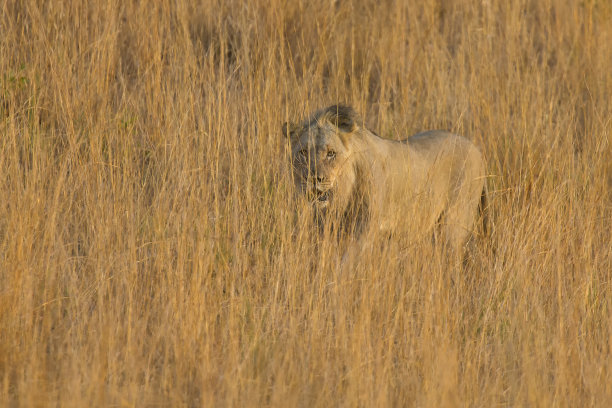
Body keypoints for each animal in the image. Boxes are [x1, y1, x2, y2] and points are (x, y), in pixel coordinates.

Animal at [282, 105, 488, 252]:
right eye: (302, 153)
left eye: (331, 153)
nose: (313, 178)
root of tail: (476, 150)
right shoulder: (325, 229)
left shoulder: (365, 230)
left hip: (453, 224)